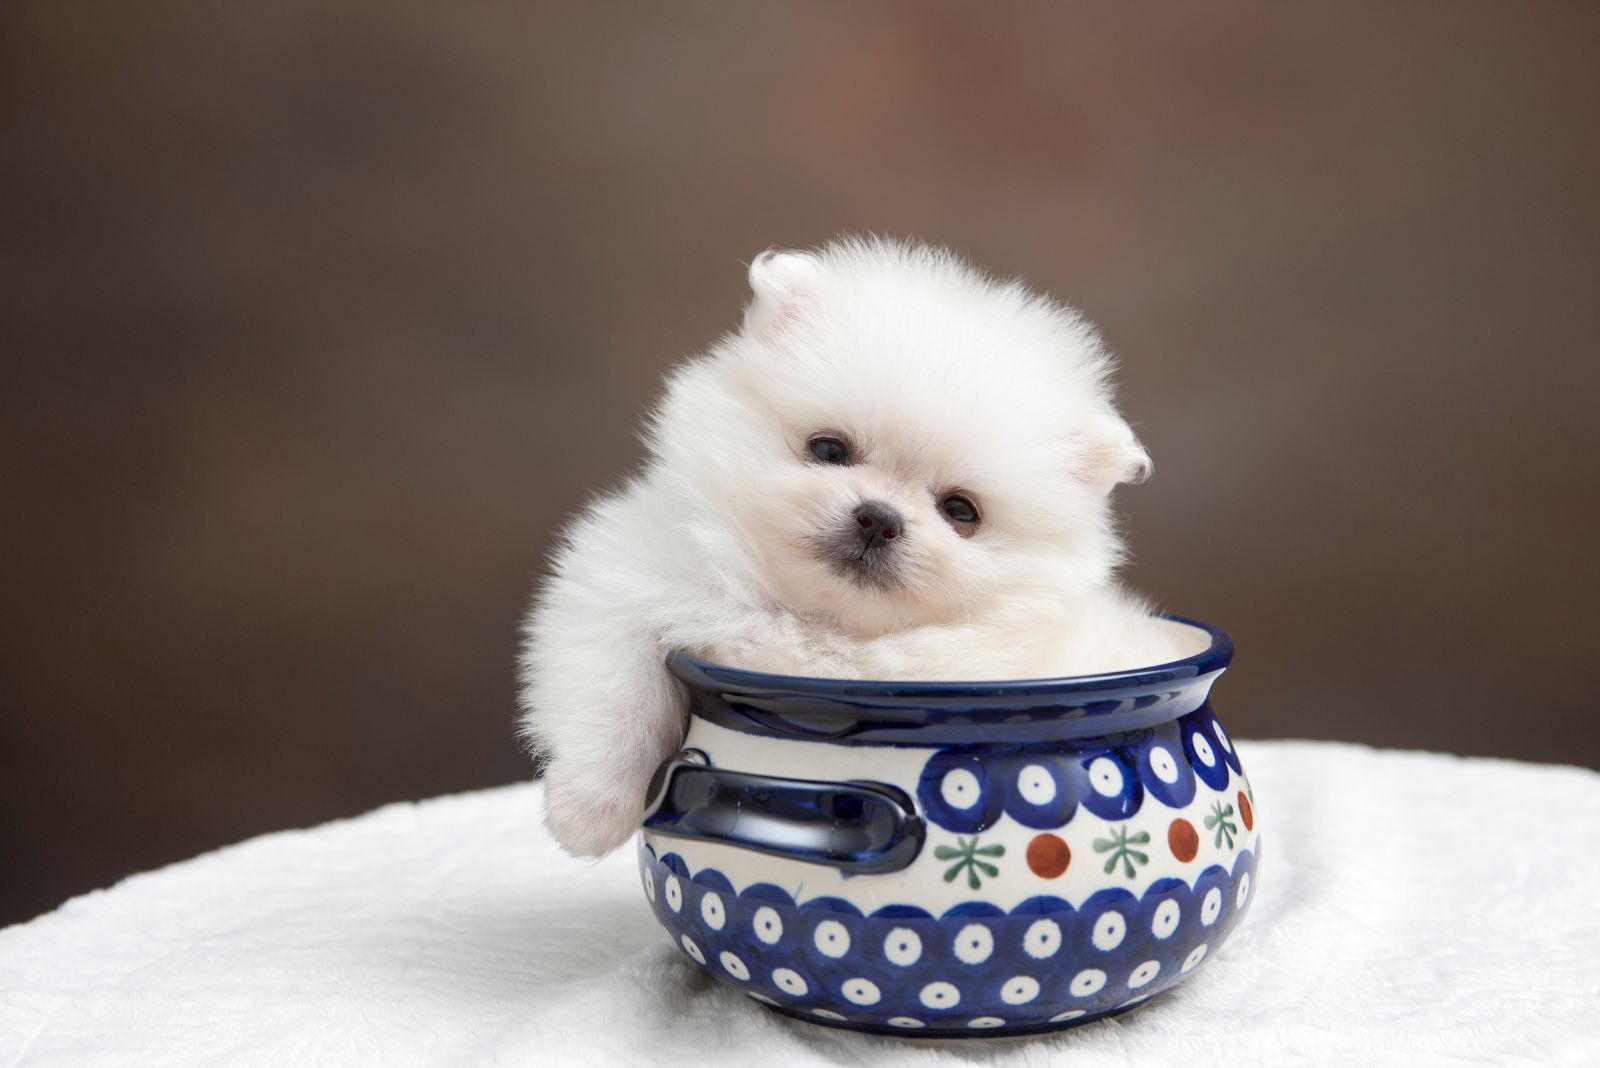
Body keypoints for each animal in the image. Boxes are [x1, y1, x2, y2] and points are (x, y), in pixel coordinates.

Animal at [518, 238, 1184, 856]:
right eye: (829, 449)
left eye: (960, 512)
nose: (878, 520)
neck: (823, 622)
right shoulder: (630, 571)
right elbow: (614, 685)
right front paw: (590, 812)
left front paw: (585, 817)